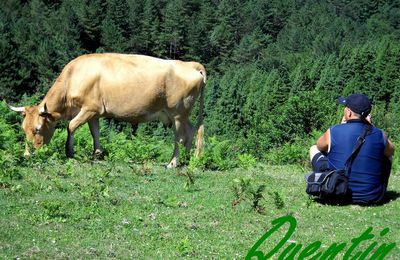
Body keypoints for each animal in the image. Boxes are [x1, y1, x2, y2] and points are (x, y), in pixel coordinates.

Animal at [8, 53, 206, 169]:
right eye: (23, 129)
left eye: (37, 129)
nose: (27, 155)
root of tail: (190, 64)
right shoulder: (94, 113)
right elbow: (95, 133)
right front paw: (97, 155)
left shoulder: (89, 108)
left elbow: (71, 126)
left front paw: (69, 152)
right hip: (180, 115)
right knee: (190, 132)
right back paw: (187, 160)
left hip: (178, 113)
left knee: (181, 136)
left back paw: (174, 162)